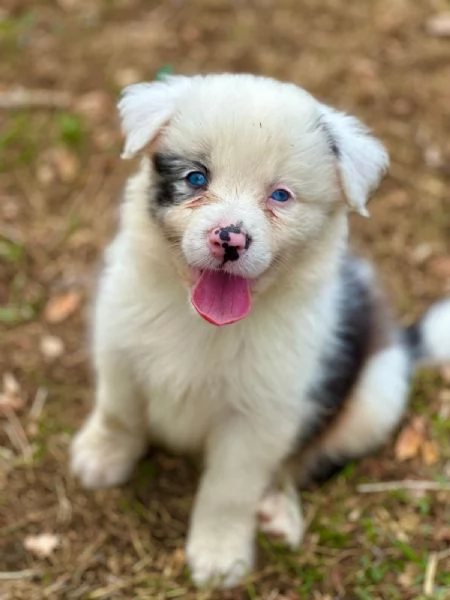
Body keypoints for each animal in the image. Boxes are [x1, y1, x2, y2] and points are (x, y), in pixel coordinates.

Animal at [70, 72, 450, 588]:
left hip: (375, 398)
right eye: (196, 178)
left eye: (281, 196)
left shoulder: (261, 415)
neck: (200, 320)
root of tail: (402, 344)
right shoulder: (119, 347)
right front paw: (102, 456)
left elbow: (229, 488)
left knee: (303, 459)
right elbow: (118, 413)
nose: (229, 239)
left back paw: (278, 510)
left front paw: (218, 555)